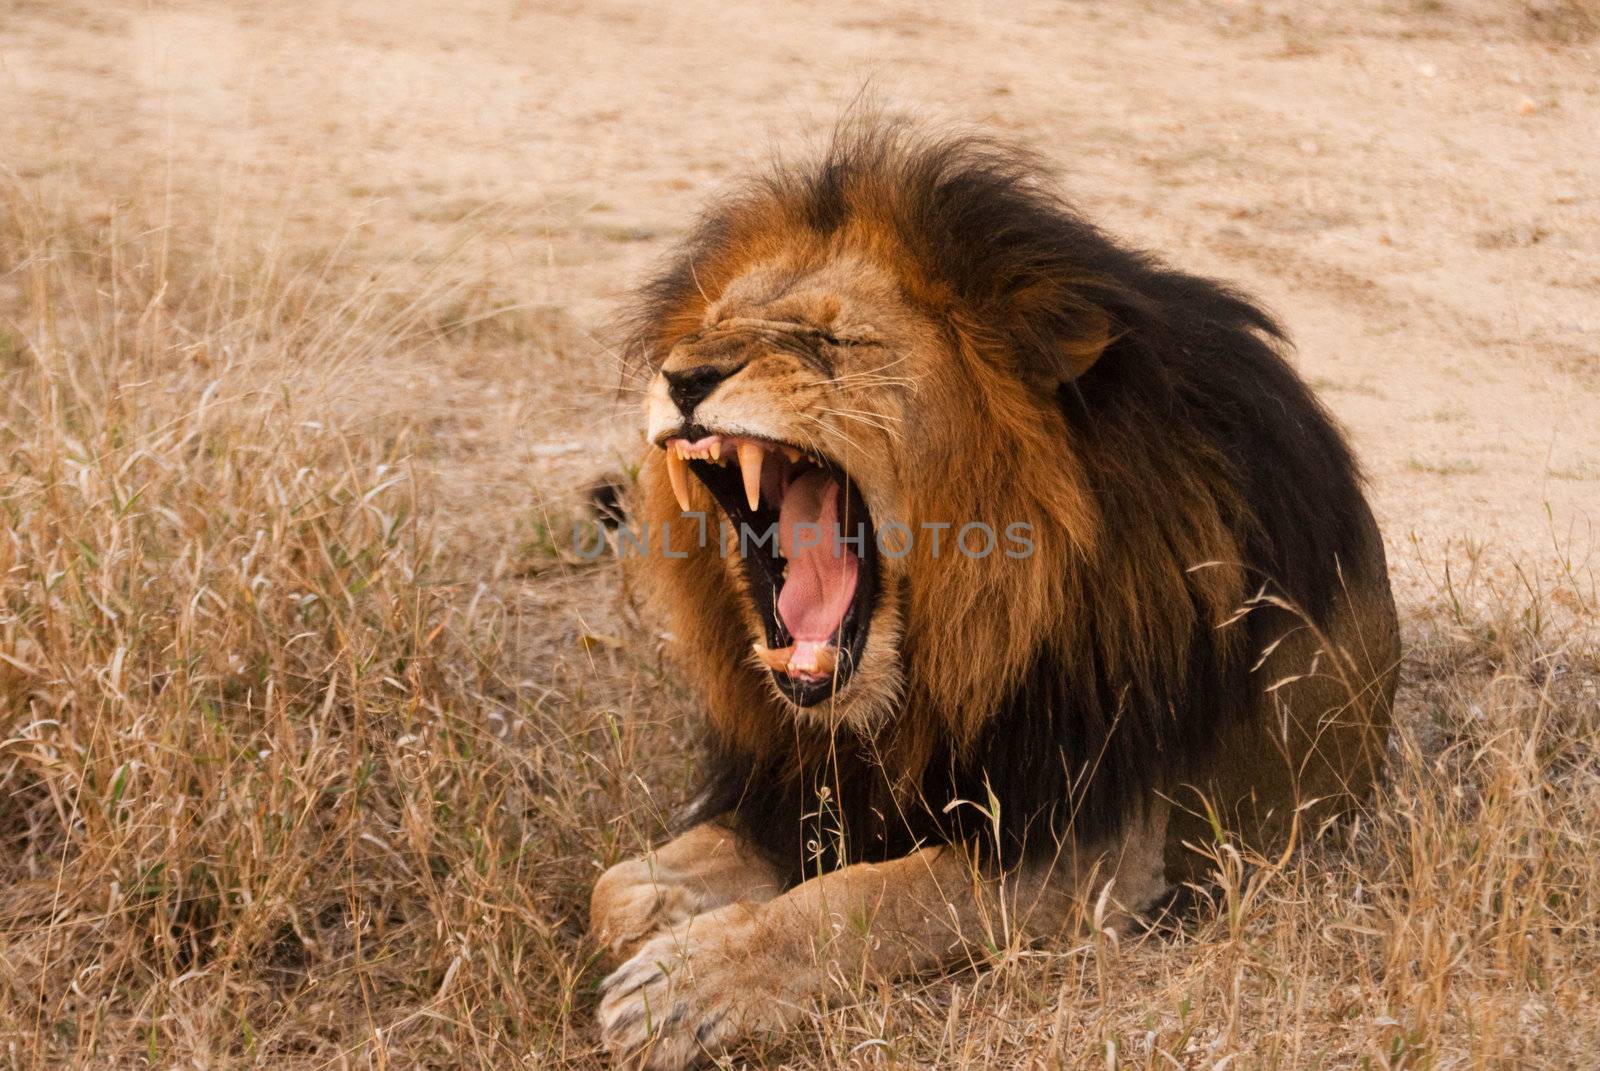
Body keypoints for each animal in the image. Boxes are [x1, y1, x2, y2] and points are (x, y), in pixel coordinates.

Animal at [592, 123, 1401, 1062]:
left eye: (839, 342)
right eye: (710, 327)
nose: (683, 377)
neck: (943, 662)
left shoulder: (1095, 854)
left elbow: (866, 899)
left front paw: (688, 983)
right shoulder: (810, 787)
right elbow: (615, 891)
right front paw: (663, 910)